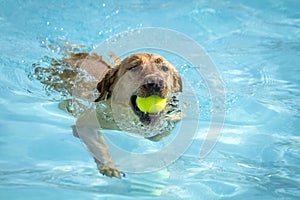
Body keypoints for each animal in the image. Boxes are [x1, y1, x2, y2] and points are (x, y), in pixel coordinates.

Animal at [31, 50, 184, 178]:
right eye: (134, 67)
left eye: (164, 68)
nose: (157, 83)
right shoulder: (85, 124)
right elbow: (99, 146)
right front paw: (109, 166)